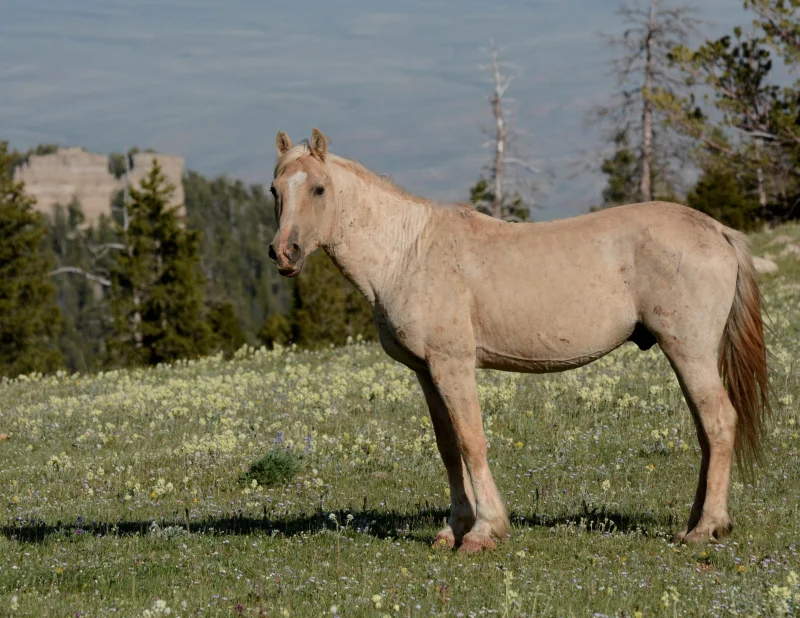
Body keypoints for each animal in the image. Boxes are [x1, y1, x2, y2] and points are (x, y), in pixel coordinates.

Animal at [268, 128, 769, 553]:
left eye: (318, 189)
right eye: (275, 191)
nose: (283, 253)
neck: (408, 252)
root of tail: (717, 231)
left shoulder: (453, 365)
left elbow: (472, 441)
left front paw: (483, 531)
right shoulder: (427, 373)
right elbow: (448, 447)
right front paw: (453, 528)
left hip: (690, 351)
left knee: (719, 422)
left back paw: (706, 528)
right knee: (706, 429)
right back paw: (697, 522)